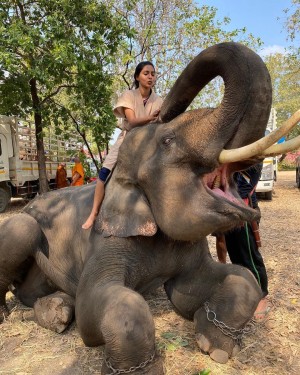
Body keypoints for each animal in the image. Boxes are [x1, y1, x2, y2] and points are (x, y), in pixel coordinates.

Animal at [0, 42, 296, 374]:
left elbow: (210, 285)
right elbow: (100, 308)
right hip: (23, 228)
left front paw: (215, 348)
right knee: (20, 246)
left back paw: (59, 312)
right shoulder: (107, 239)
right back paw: (16, 314)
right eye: (168, 140)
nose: (160, 107)